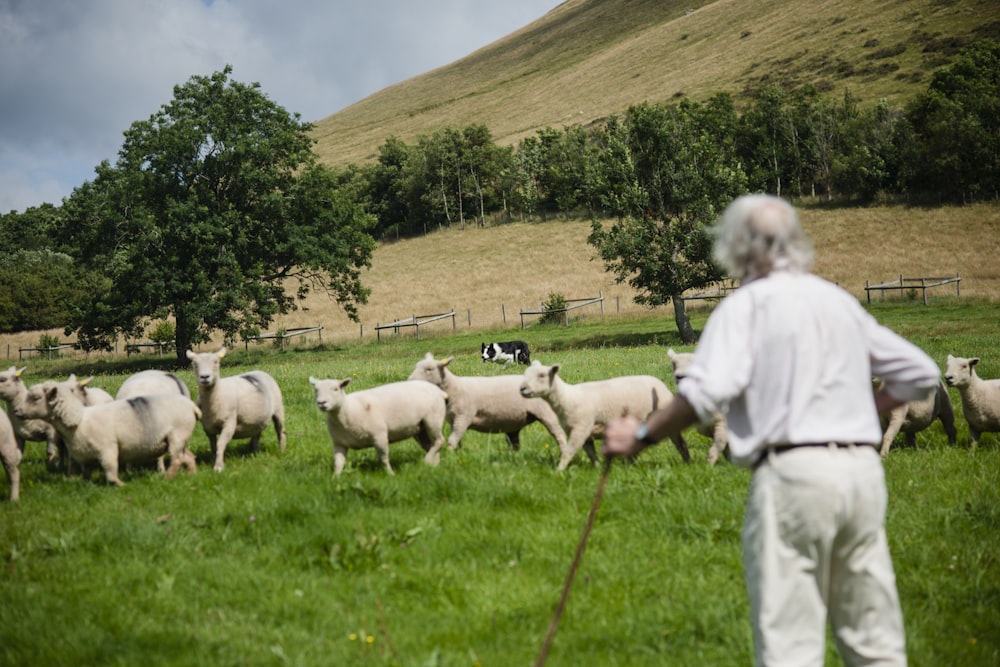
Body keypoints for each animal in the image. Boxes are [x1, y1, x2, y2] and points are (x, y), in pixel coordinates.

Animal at [14, 380, 199, 486]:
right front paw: (86, 487)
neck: (79, 418)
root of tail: (191, 405)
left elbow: (111, 473)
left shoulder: (108, 450)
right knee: (188, 457)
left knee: (176, 459)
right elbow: (86, 476)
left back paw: (167, 478)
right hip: (178, 439)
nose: (16, 411)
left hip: (177, 435)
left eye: (36, 398)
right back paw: (191, 474)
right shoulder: (85, 457)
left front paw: (122, 486)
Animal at [310, 378, 448, 478]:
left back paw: (427, 460)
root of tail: (439, 391)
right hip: (420, 429)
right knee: (431, 445)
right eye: (316, 390)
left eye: (336, 389)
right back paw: (434, 465)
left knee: (440, 440)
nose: (321, 403)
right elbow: (338, 463)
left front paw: (391, 474)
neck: (348, 408)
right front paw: (335, 478)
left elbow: (384, 459)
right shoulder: (339, 443)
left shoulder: (379, 436)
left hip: (433, 419)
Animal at [406, 350, 568, 454]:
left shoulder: (464, 417)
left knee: (558, 434)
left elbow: (453, 440)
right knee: (515, 442)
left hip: (546, 413)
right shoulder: (453, 421)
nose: (410, 380)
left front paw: (450, 457)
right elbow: (457, 441)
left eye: (429, 369)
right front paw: (457, 456)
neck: (454, 387)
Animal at [520, 360, 692, 470]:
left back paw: (687, 461)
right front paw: (597, 468)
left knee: (679, 442)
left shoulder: (581, 428)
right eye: (525, 373)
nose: (522, 388)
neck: (568, 398)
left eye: (542, 375)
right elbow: (591, 454)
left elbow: (568, 452)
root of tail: (661, 384)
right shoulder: (585, 433)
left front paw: (559, 471)